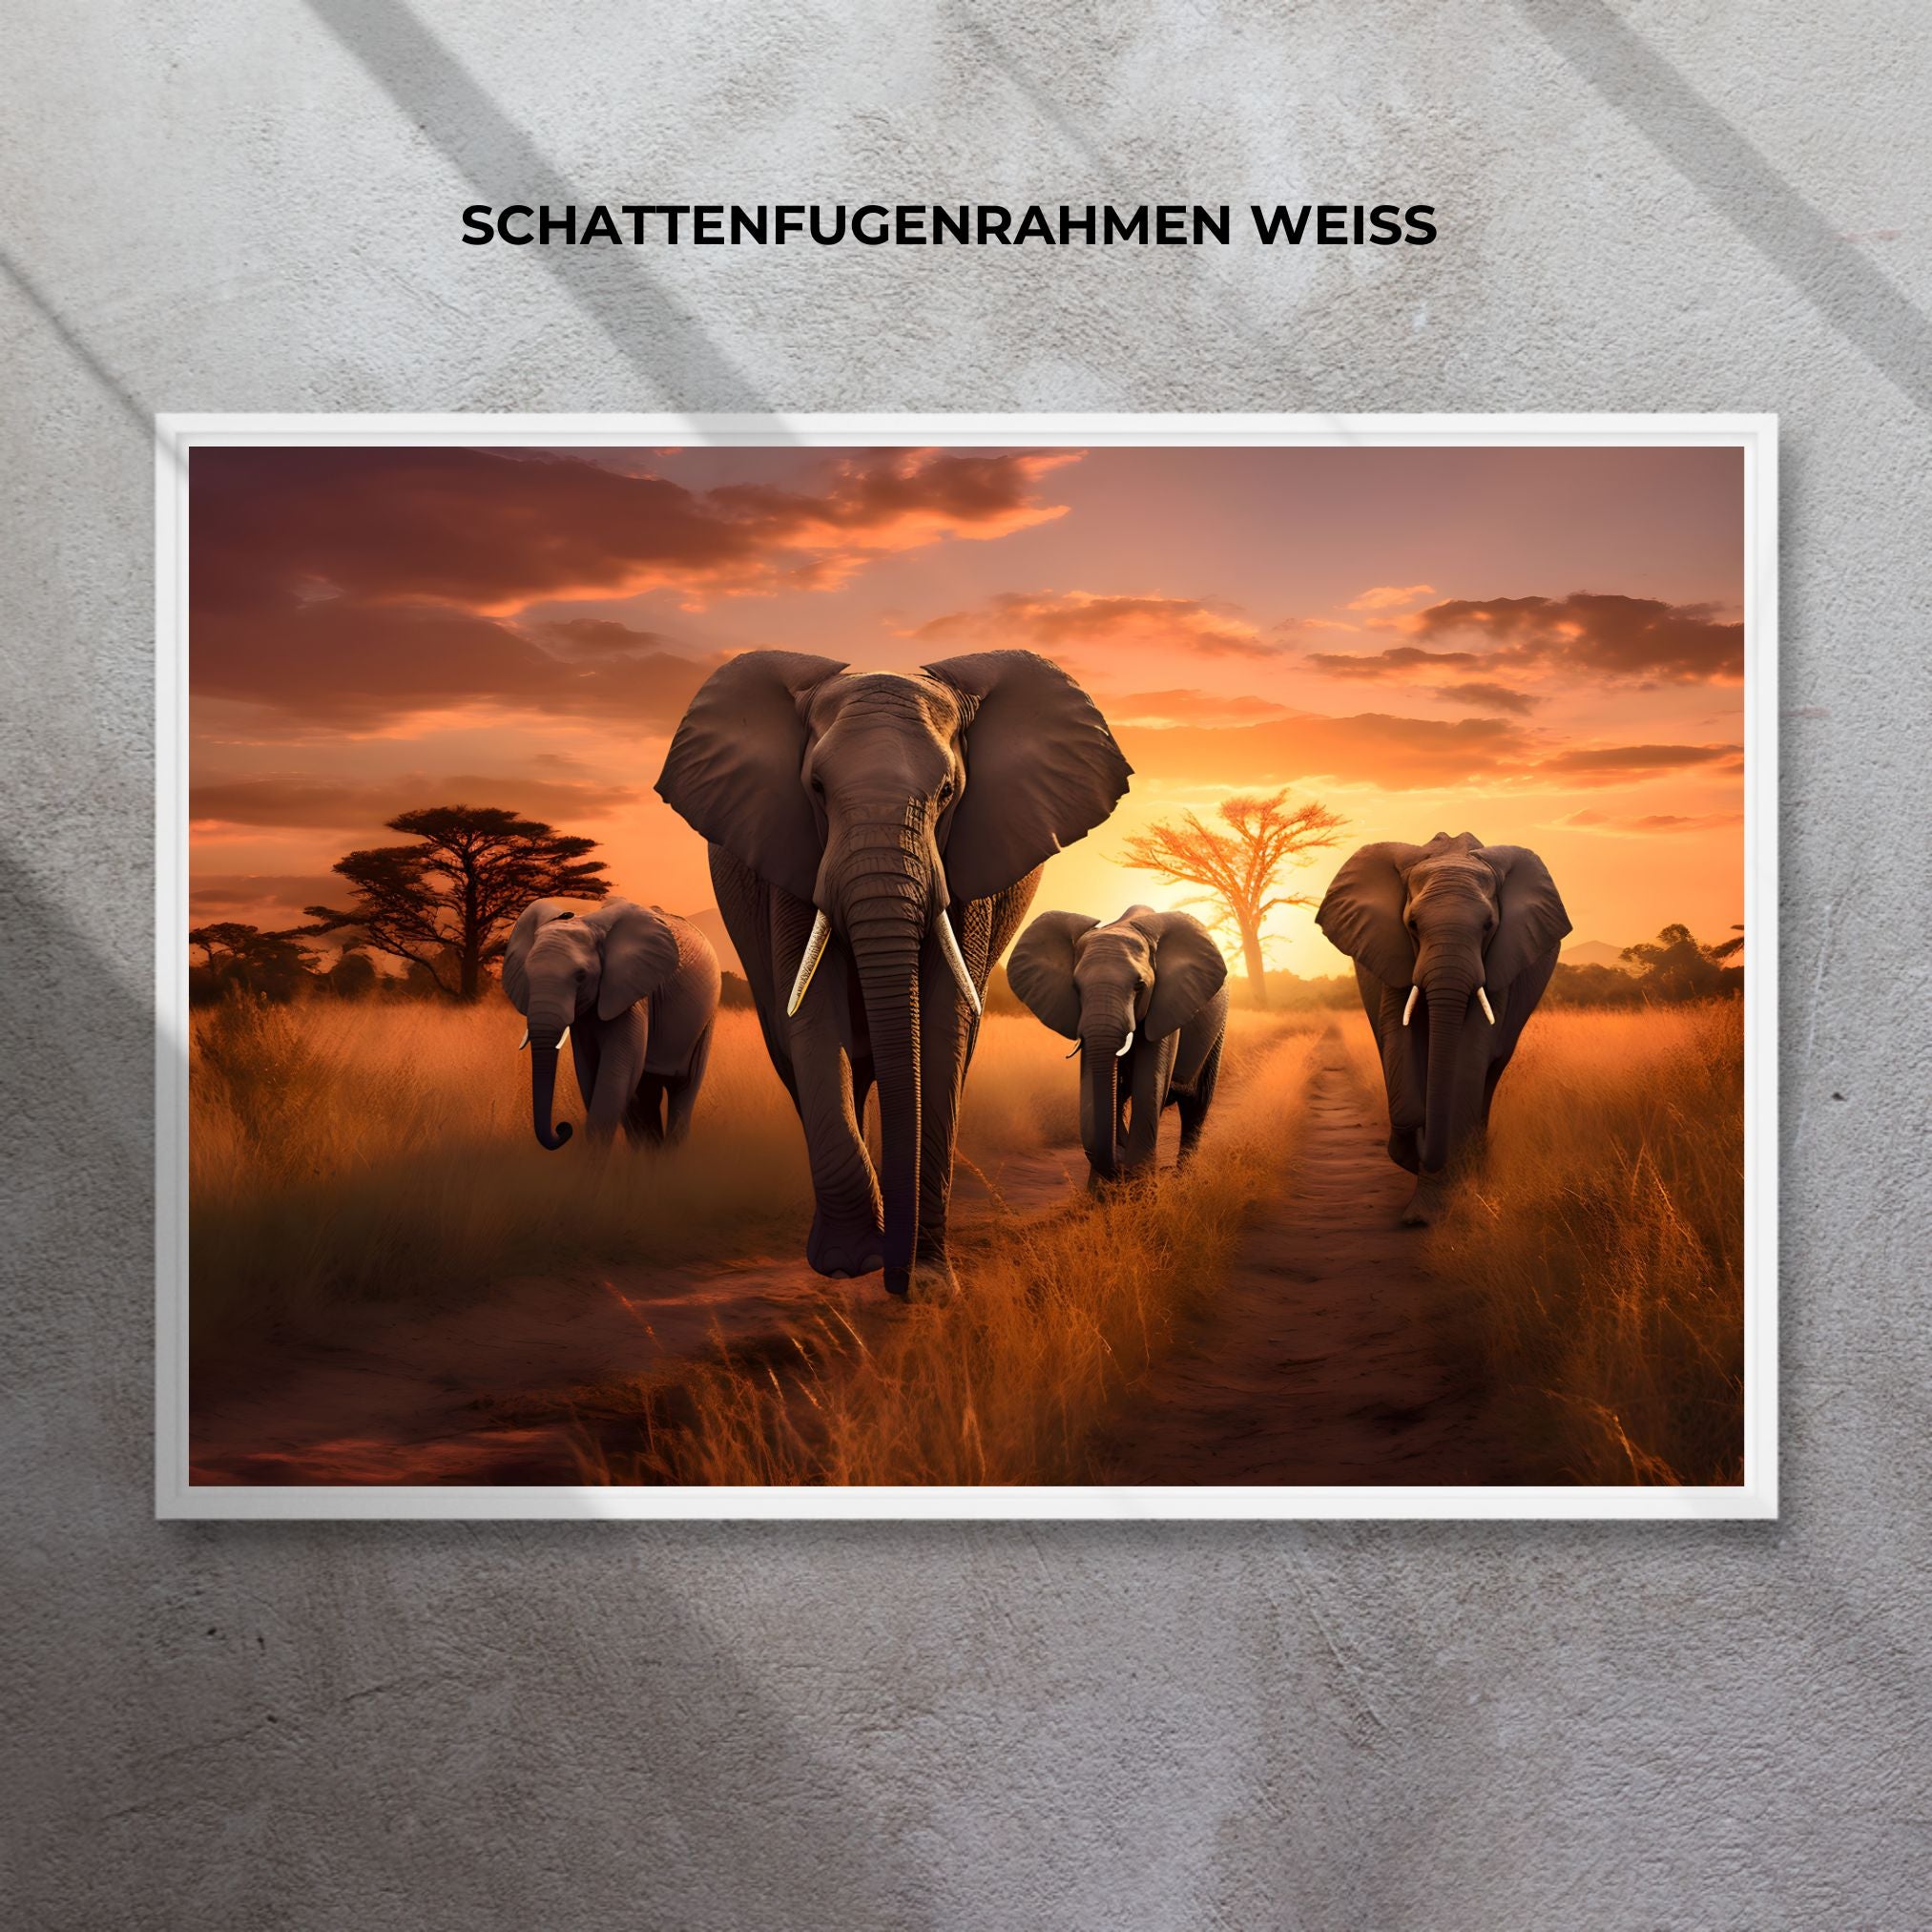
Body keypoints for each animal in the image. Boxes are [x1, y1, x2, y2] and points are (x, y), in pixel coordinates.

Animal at [501, 897, 721, 1150]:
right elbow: (590, 1074)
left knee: (683, 1091)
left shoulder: (631, 995)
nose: (563, 1128)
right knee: (647, 1096)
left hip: (707, 1019)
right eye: (527, 973)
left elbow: (615, 1079)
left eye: (580, 976)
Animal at [656, 648, 1131, 1300]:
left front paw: (929, 1280)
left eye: (949, 791)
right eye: (816, 788)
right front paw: (849, 1263)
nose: (898, 1281)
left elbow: (943, 1026)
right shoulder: (792, 859)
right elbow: (815, 1018)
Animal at [1007, 905, 1230, 1185]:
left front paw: (1141, 1188)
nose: (1120, 1164)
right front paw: (1102, 1191)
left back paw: (1182, 1180)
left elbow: (1149, 1084)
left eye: (1139, 986)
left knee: (1195, 1106)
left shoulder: (1165, 1005)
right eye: (1076, 988)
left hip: (1217, 1034)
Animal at [1316, 831, 1569, 1224]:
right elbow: (1400, 1041)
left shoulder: (1500, 961)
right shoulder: (1393, 953)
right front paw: (1417, 1186)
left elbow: (1470, 1054)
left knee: (1490, 1074)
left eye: (1488, 926)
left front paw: (1432, 1212)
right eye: (1413, 926)